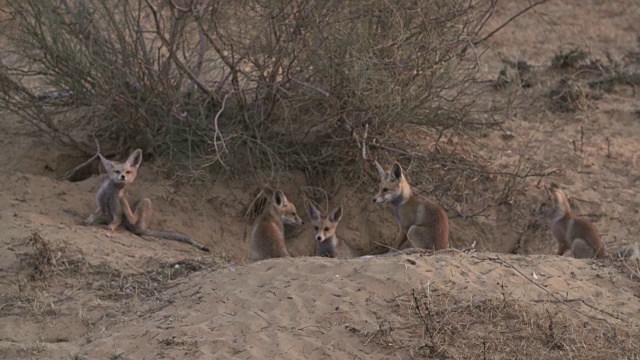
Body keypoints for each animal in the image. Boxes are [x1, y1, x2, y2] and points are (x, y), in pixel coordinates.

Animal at [82, 149, 210, 253]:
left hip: (145, 201)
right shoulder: (101, 205)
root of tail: (145, 228)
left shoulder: (118, 212)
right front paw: (87, 221)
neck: (110, 193)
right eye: (117, 171)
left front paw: (109, 228)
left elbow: (115, 222)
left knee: (134, 222)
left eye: (128, 172)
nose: (123, 177)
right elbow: (93, 214)